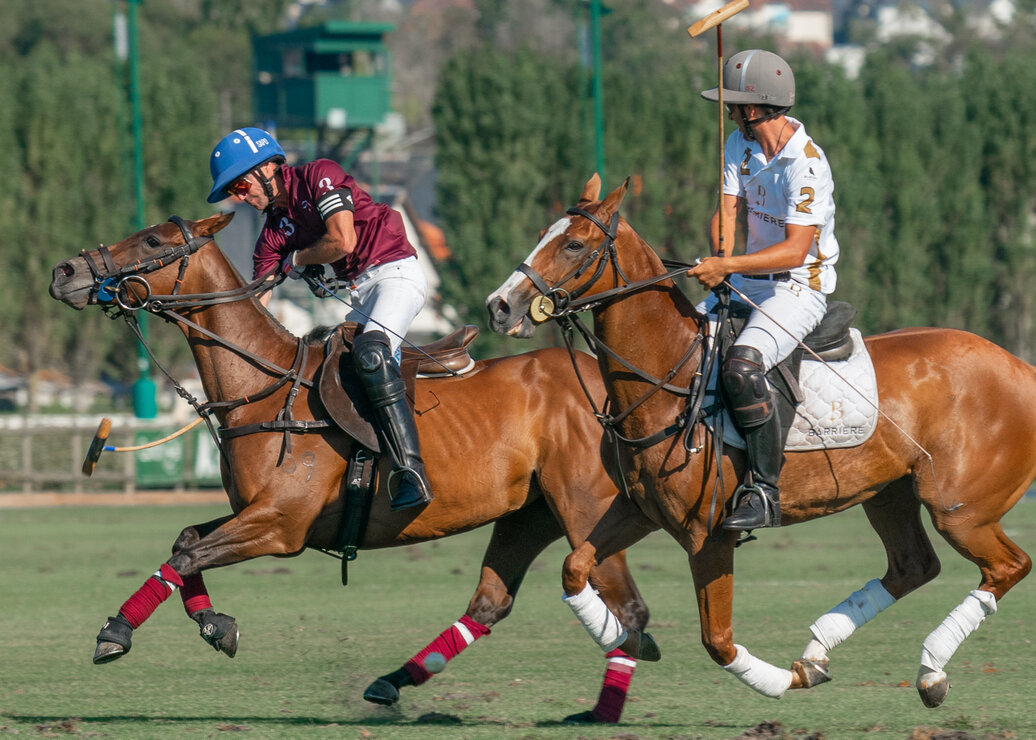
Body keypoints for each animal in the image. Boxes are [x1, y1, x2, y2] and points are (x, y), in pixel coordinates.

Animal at [48, 210, 654, 717]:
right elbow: (186, 541)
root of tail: (611, 379)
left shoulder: (281, 525)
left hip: (584, 509)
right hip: (529, 513)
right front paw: (216, 625)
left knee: (627, 608)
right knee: (491, 602)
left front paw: (116, 632)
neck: (267, 388)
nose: (65, 270)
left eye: (152, 240)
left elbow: (186, 554)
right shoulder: (256, 511)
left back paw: (604, 708)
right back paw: (392, 682)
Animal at [484, 174, 1036, 708]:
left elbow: (718, 641)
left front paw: (782, 681)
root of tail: (1020, 367)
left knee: (1008, 566)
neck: (671, 378)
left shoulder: (708, 534)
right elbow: (574, 567)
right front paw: (629, 639)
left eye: (574, 244)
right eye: (543, 235)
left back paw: (928, 671)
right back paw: (821, 653)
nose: (499, 306)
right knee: (914, 566)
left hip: (961, 509)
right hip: (889, 493)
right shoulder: (639, 511)